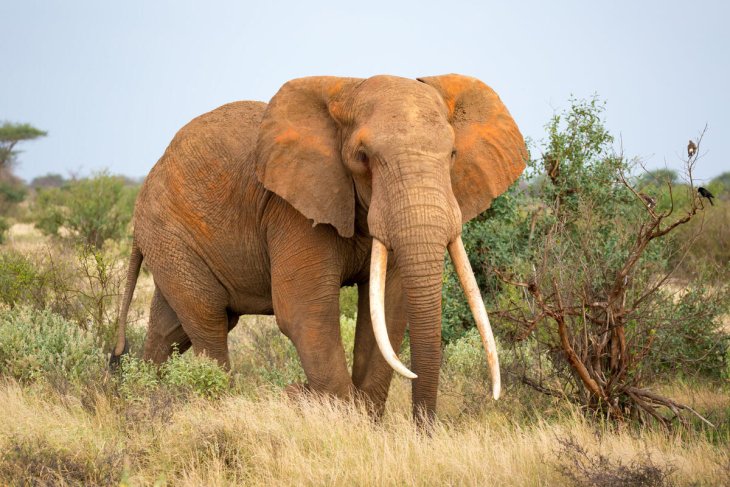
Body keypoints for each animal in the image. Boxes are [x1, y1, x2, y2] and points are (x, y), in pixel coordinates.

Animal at [113, 74, 526, 423]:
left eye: (453, 155)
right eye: (362, 157)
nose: (423, 430)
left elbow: (388, 312)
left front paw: (361, 417)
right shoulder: (293, 210)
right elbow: (306, 314)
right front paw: (330, 410)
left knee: (170, 328)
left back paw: (142, 404)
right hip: (170, 233)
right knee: (209, 322)